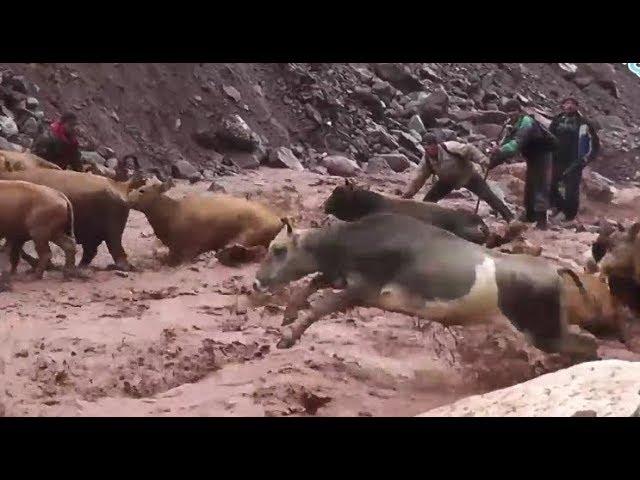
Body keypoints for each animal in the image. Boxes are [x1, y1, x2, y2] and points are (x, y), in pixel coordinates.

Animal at [127, 178, 282, 264]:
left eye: (142, 190)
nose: (126, 198)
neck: (172, 214)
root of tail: (278, 222)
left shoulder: (190, 247)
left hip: (248, 236)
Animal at [252, 212, 596, 358]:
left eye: (278, 250)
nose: (256, 283)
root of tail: (553, 269)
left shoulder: (363, 289)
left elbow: (319, 307)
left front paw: (287, 338)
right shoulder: (341, 277)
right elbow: (310, 285)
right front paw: (287, 316)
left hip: (543, 330)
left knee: (586, 346)